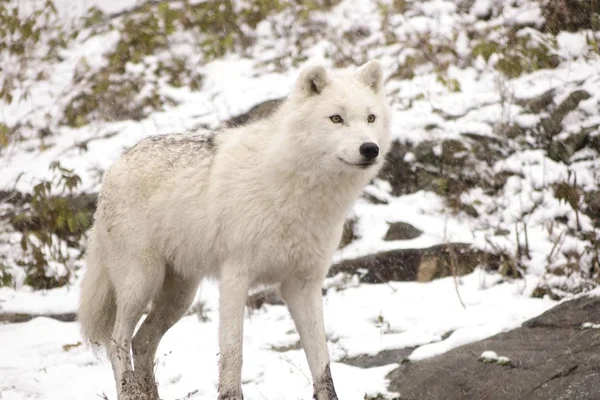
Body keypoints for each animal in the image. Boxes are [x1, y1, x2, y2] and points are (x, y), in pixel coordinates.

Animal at [78, 59, 394, 400]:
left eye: (370, 118)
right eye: (336, 118)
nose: (370, 148)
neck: (297, 192)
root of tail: (116, 164)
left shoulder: (304, 286)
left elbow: (322, 363)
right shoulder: (235, 277)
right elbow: (233, 354)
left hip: (179, 296)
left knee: (142, 341)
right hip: (140, 283)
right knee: (118, 342)